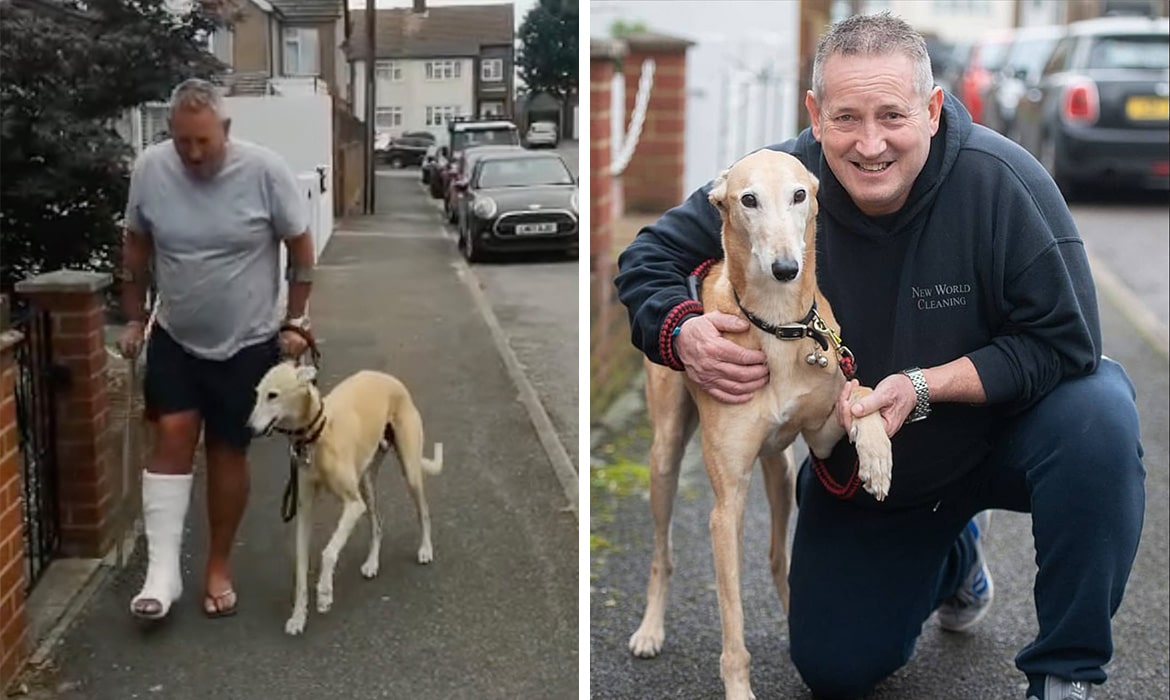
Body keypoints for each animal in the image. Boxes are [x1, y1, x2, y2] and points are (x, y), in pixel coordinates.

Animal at [246, 365, 442, 641]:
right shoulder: (305, 512)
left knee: (422, 511)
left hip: (409, 470)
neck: (318, 434)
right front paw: (298, 617)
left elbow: (328, 552)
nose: (249, 428)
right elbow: (301, 569)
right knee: (377, 524)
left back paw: (425, 549)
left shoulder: (353, 505)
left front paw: (325, 594)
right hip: (366, 482)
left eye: (272, 395)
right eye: (257, 394)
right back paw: (372, 563)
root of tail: (388, 378)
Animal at [631, 151, 893, 697]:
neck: (778, 327)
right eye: (747, 199)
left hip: (781, 471)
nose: (786, 268)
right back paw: (649, 629)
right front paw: (738, 686)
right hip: (665, 457)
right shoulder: (726, 508)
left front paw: (878, 457)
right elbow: (732, 624)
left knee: (777, 557)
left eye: (800, 195)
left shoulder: (822, 435)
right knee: (663, 553)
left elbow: (862, 396)